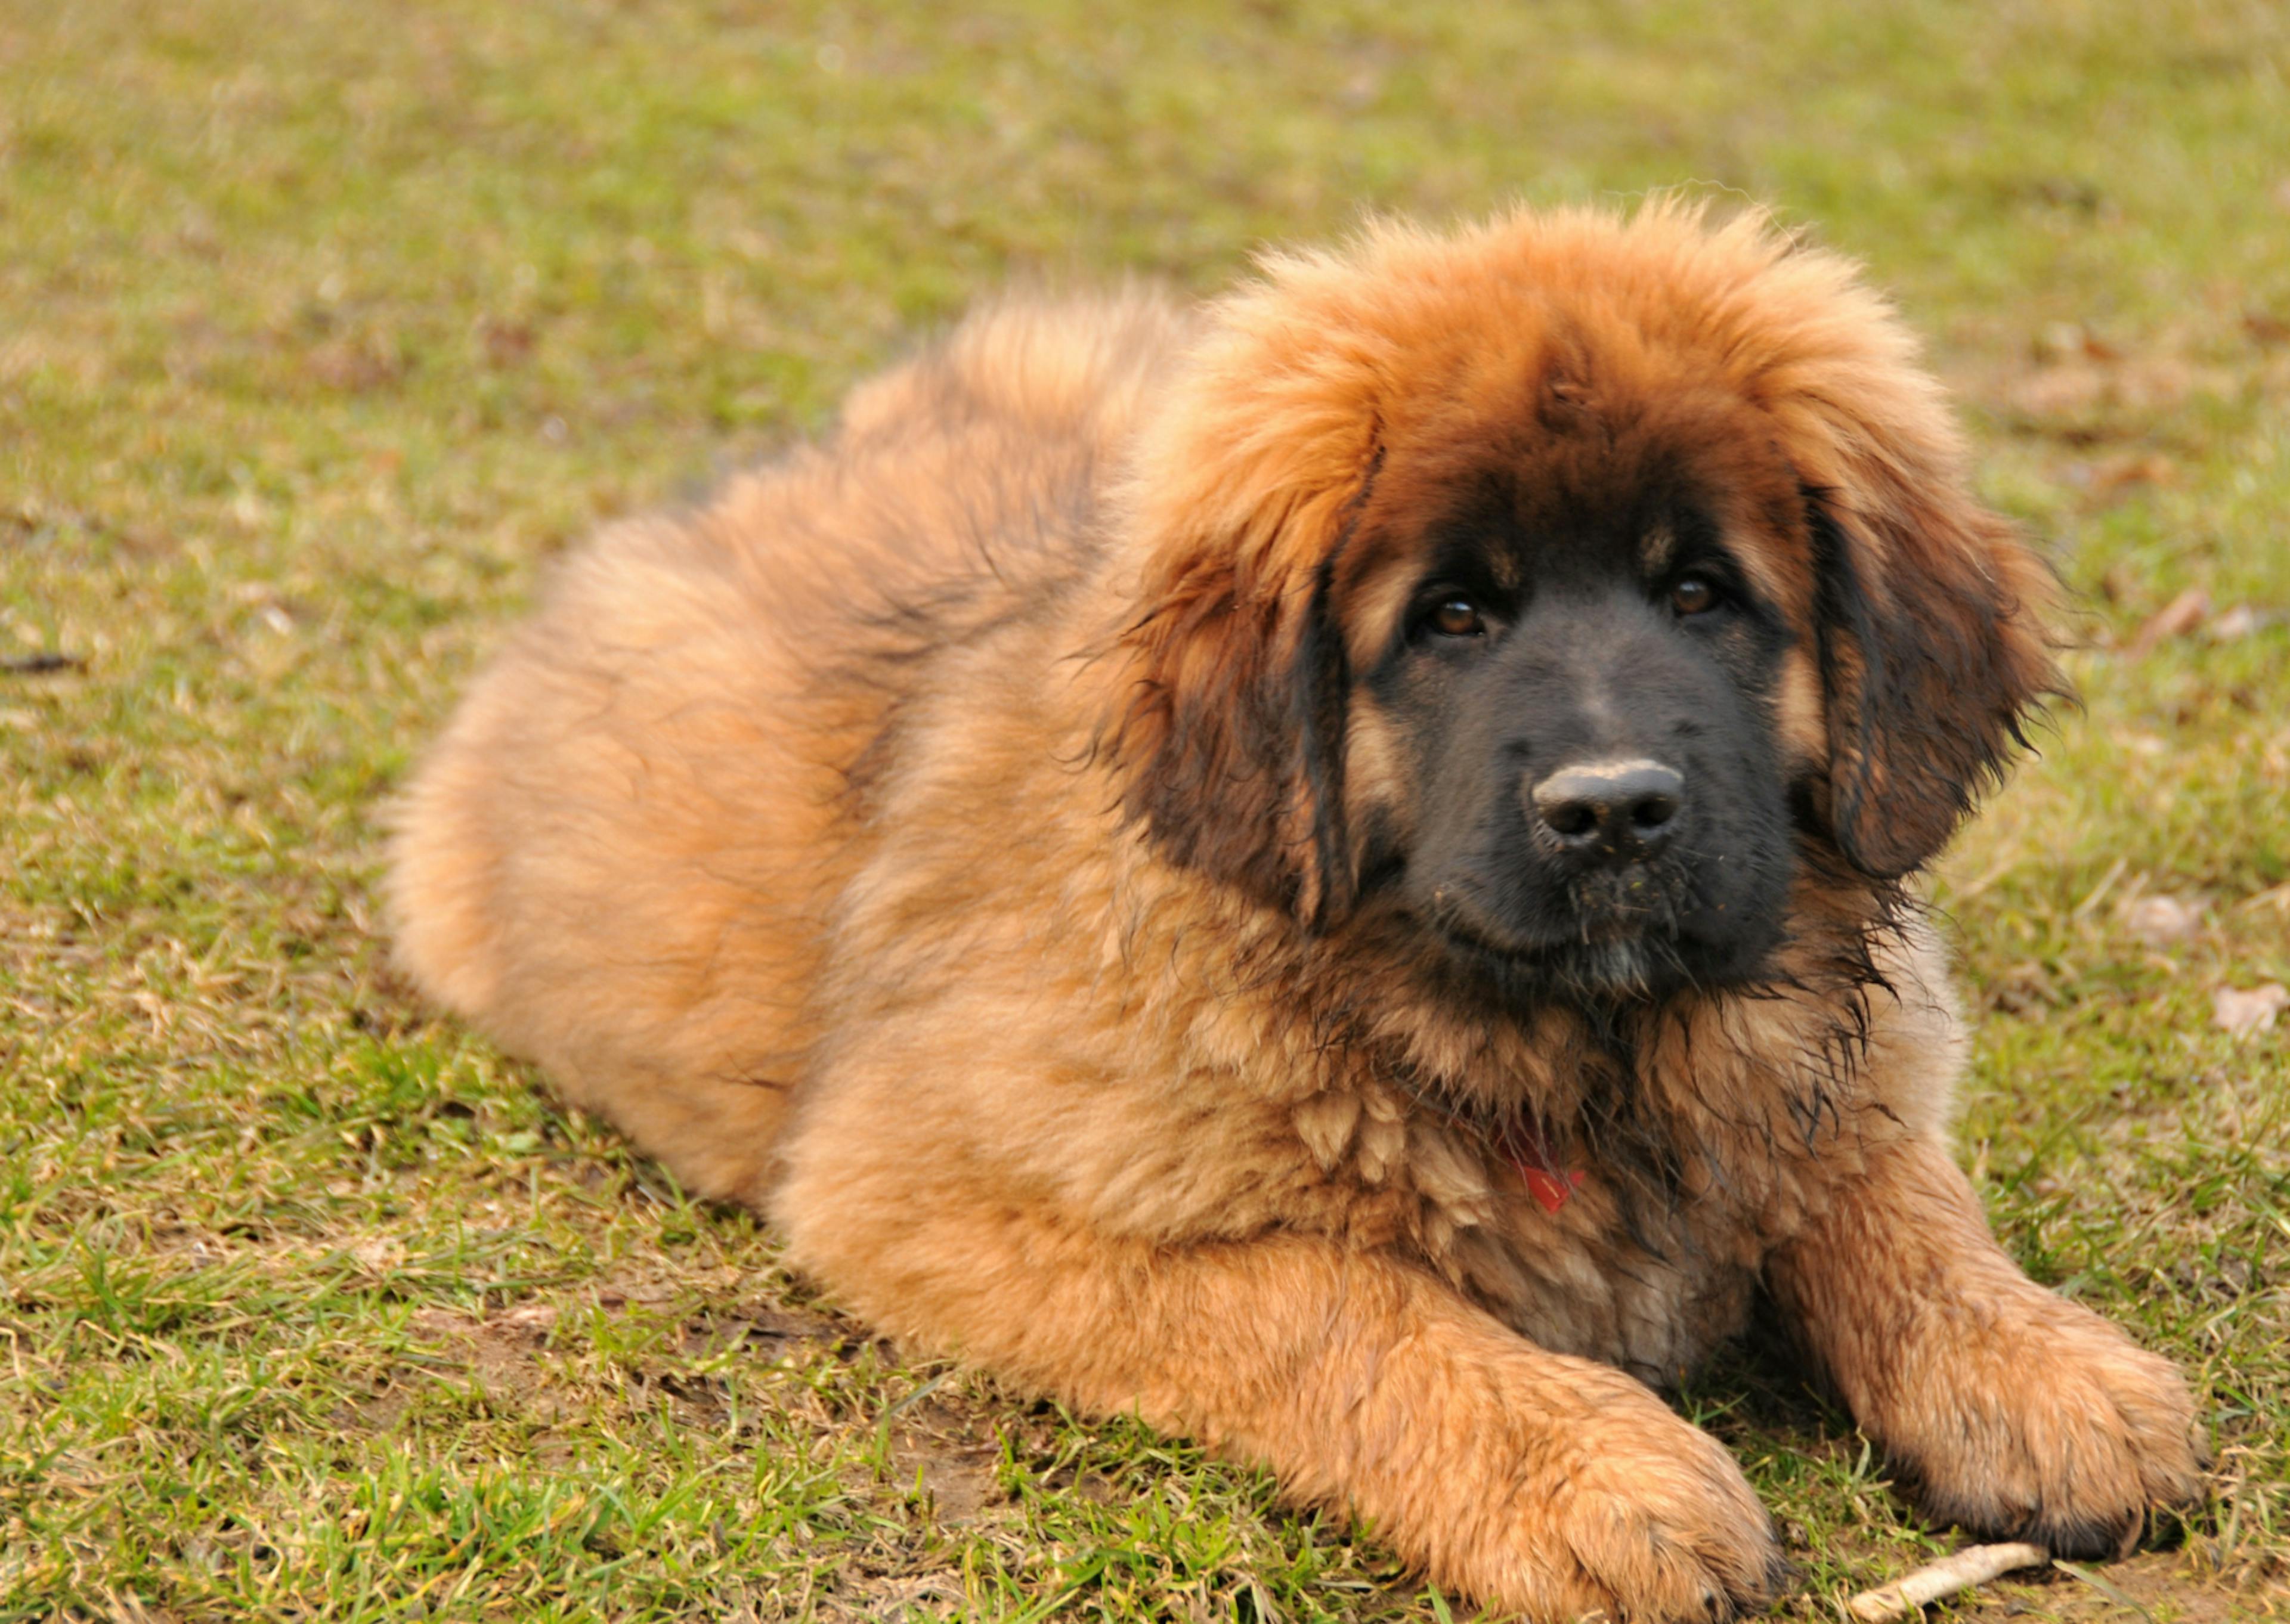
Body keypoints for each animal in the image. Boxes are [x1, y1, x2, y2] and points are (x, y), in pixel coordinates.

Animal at [389, 206, 2198, 1622]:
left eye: (1703, 593)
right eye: (1451, 617)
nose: (1612, 807)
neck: (1578, 1058)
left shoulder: (1844, 1075)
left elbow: (1893, 1201)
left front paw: (2039, 1367)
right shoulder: (931, 1191)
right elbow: (1338, 1301)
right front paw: (1590, 1470)